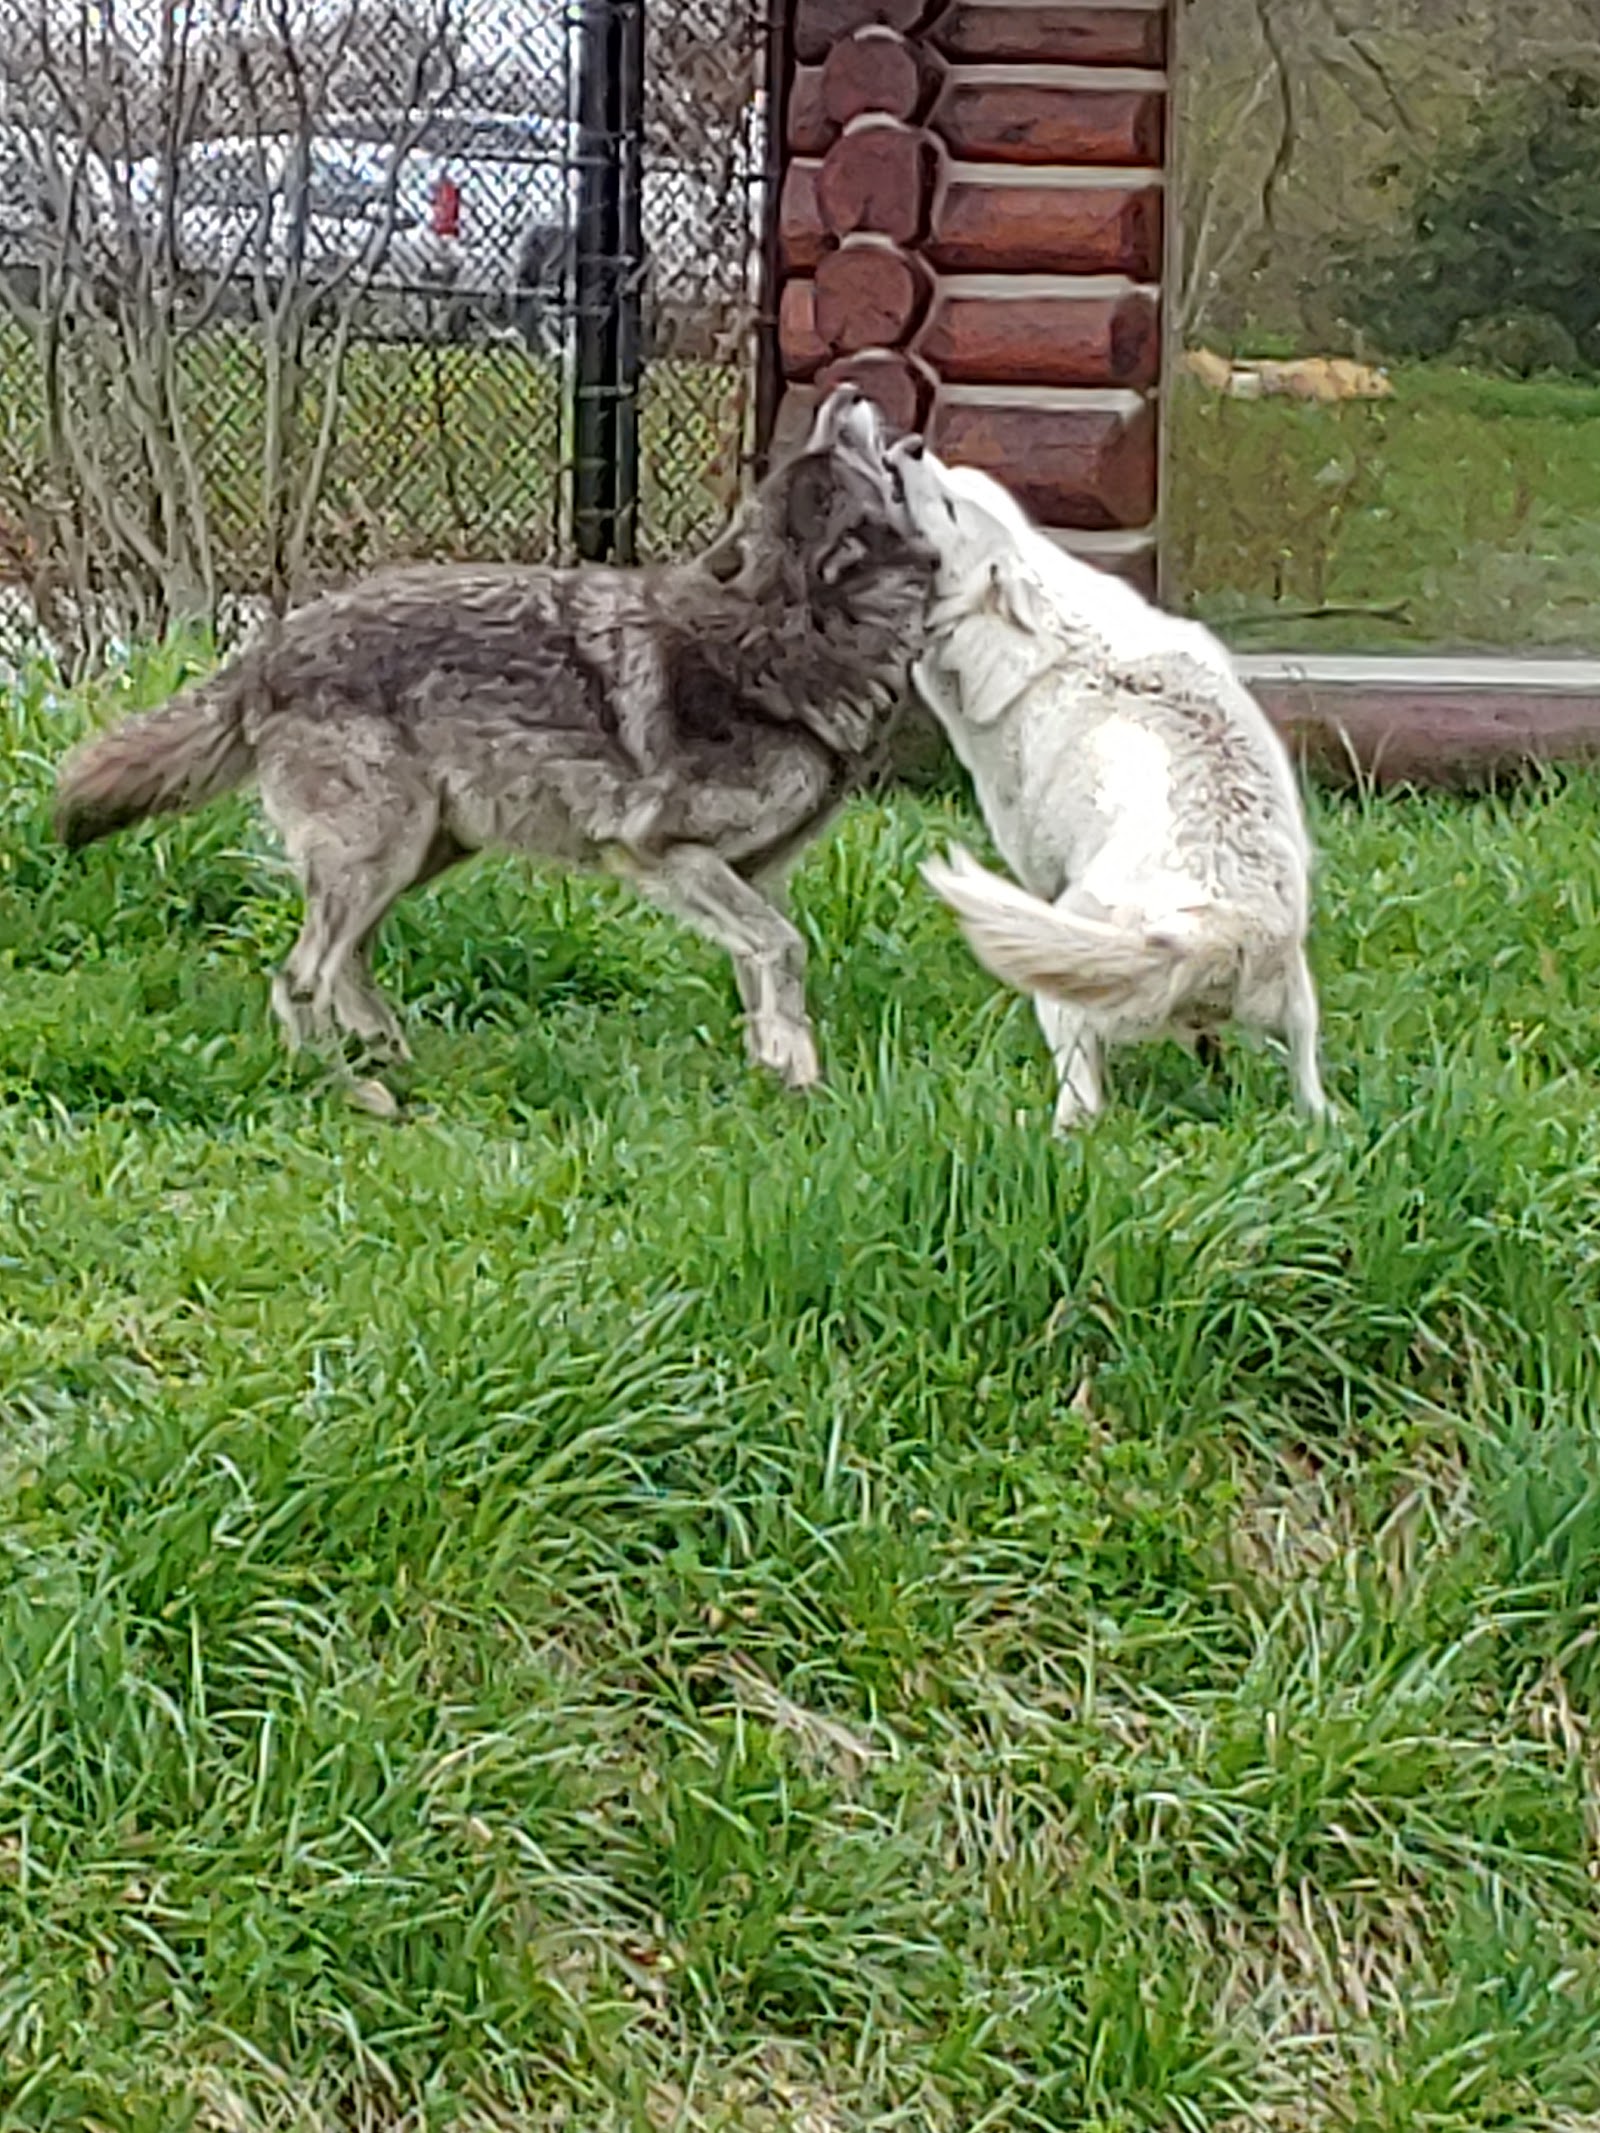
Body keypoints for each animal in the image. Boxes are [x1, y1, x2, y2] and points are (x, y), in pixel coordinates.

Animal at [54, 387, 936, 1093]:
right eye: (842, 444)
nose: (852, 390)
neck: (793, 634)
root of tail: (266, 649)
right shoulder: (659, 851)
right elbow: (786, 950)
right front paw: (799, 1074)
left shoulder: (757, 875)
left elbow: (764, 973)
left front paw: (779, 1077)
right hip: (383, 855)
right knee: (298, 977)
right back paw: (347, 1088)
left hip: (423, 853)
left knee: (346, 967)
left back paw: (389, 1056)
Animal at [889, 439, 1330, 1129]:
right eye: (947, 476)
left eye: (952, 506)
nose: (910, 445)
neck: (1046, 641)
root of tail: (1225, 930)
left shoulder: (1036, 866)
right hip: (1301, 1013)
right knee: (1312, 1094)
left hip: (1064, 989)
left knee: (1082, 1102)